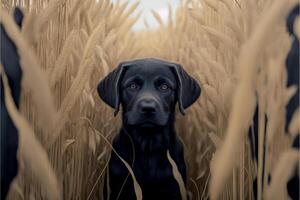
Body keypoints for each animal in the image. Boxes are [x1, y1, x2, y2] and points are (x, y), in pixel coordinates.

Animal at [98, 58, 200, 200]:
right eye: (132, 86)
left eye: (164, 87)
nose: (148, 108)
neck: (148, 147)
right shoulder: (117, 188)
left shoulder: (174, 187)